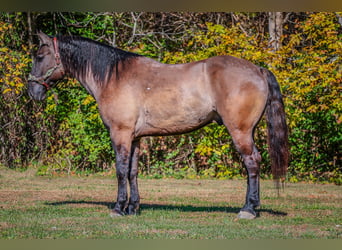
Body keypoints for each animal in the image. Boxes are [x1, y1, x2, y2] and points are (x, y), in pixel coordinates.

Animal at [28, 31, 288, 219]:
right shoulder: (135, 137)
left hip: (240, 131)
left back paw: (248, 209)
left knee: (252, 162)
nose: (33, 91)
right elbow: (132, 171)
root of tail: (258, 70)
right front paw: (133, 208)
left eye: (40, 57)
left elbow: (120, 170)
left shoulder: (120, 134)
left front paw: (118, 208)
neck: (114, 77)